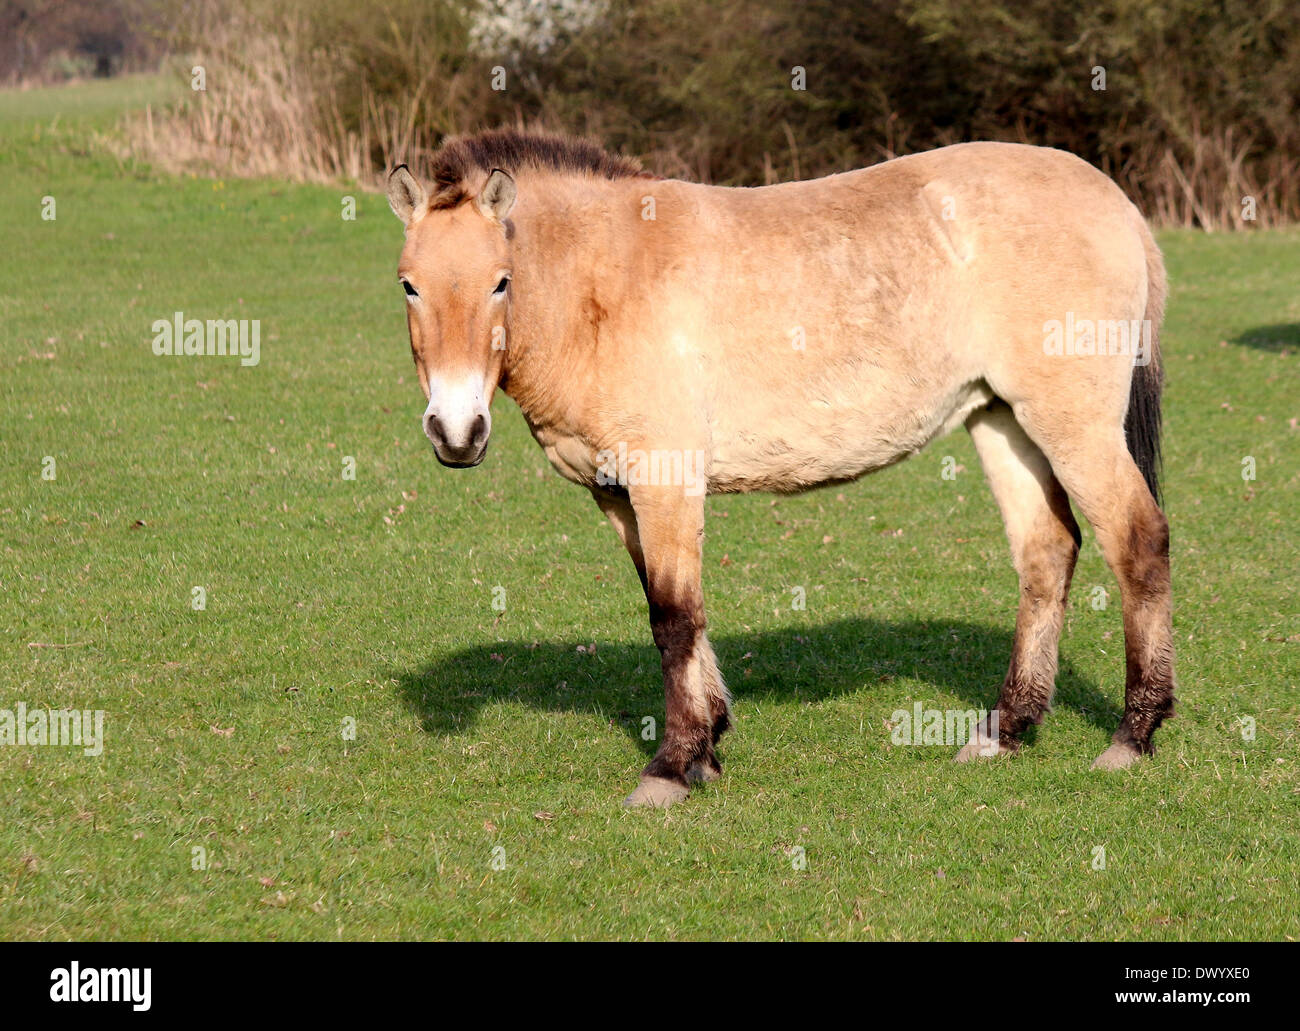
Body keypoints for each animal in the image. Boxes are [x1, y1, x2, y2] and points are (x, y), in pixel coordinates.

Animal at [384, 126, 1180, 806]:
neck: (606, 281)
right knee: (1047, 552)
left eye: (499, 281)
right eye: (408, 284)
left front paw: (671, 766)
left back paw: (1133, 733)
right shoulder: (617, 493)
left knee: (1137, 542)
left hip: (1071, 424)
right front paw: (708, 745)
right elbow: (672, 613)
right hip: (1001, 419)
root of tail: (1115, 203)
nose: (456, 431)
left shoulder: (665, 479)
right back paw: (1004, 730)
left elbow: (675, 616)